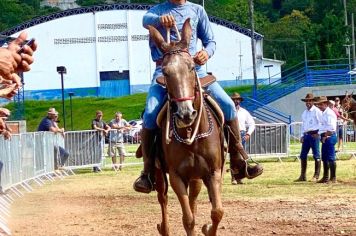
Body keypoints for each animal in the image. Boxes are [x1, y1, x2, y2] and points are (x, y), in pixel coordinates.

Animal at [149, 18, 224, 236]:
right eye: (165, 72)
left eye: (191, 67)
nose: (186, 113)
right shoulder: (176, 176)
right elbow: (188, 219)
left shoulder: (213, 172)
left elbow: (217, 212)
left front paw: (207, 228)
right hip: (159, 172)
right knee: (163, 199)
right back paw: (163, 227)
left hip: (196, 177)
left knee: (194, 199)